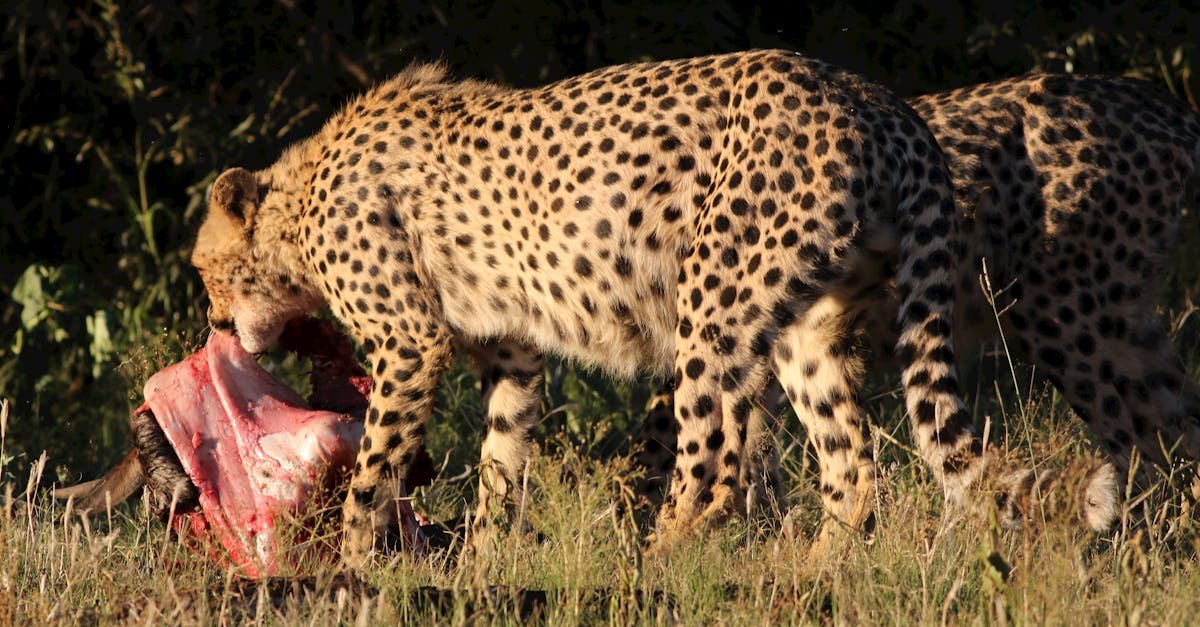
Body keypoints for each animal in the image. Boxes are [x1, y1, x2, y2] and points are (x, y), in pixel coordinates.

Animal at [191, 49, 988, 565]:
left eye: (204, 272)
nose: (216, 326)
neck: (297, 203)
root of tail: (873, 94)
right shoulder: (511, 348)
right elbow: (502, 460)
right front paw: (481, 568)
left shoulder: (411, 342)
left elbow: (374, 473)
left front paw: (353, 570)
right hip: (806, 326)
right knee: (852, 470)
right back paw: (809, 574)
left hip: (712, 302)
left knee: (714, 467)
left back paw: (653, 563)